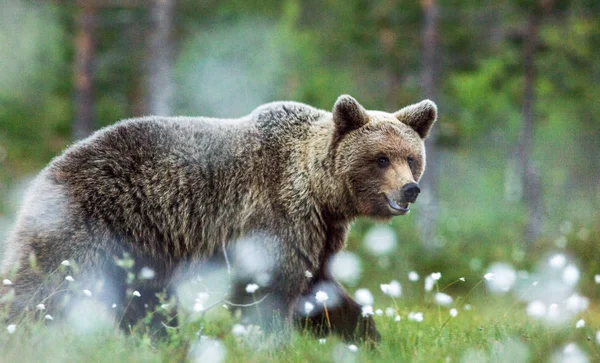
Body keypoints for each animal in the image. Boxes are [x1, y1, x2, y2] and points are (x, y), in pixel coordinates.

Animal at [2, 94, 438, 344]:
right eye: (380, 158)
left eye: (411, 157)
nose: (410, 189)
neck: (321, 193)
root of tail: (46, 171)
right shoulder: (276, 211)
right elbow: (268, 284)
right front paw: (271, 340)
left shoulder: (320, 231)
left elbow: (321, 289)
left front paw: (368, 336)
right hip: (94, 220)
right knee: (50, 283)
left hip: (141, 245)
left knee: (144, 297)